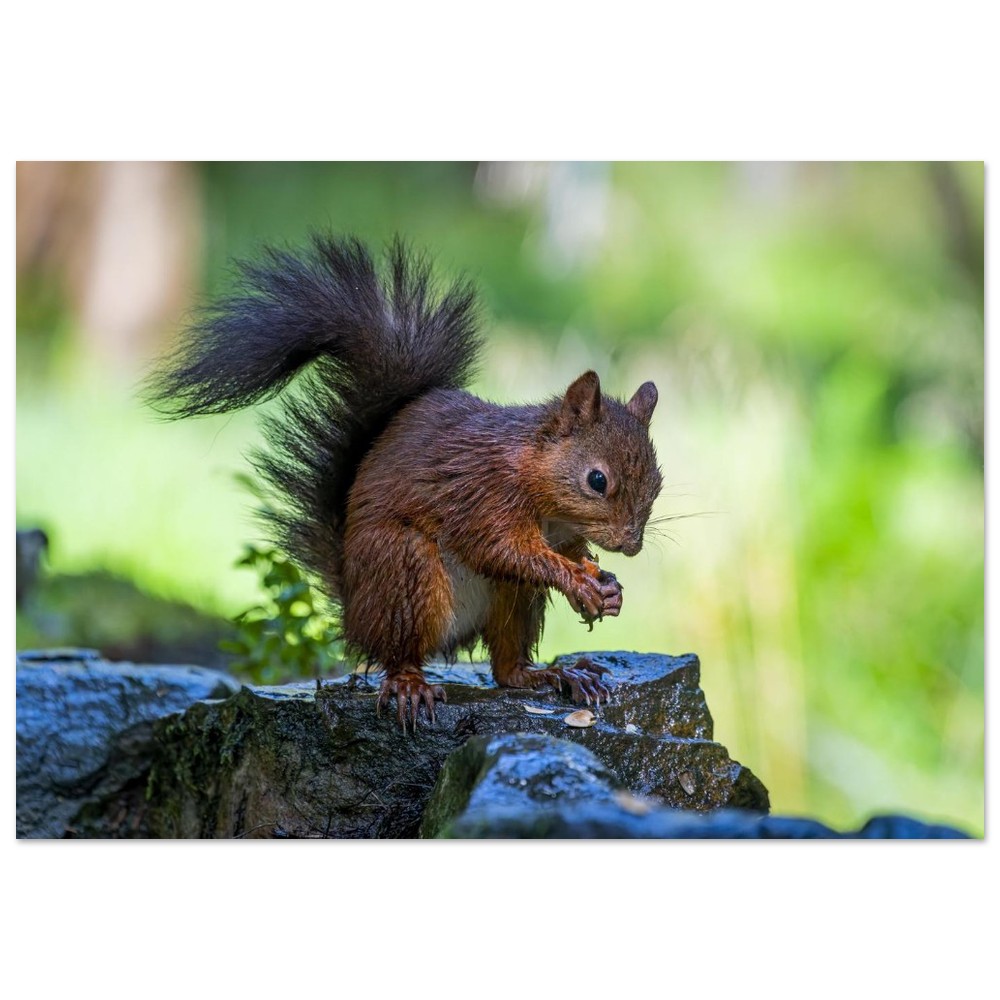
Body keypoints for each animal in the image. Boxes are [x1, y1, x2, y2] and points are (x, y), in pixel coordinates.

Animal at [148, 234, 663, 730]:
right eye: (597, 480)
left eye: (658, 482)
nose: (632, 545)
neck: (538, 484)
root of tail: (354, 610)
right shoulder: (482, 495)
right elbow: (504, 549)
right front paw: (577, 580)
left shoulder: (560, 531)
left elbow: (567, 552)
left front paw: (607, 585)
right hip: (403, 570)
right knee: (399, 653)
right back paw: (410, 684)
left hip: (512, 599)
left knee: (506, 668)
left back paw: (553, 674)